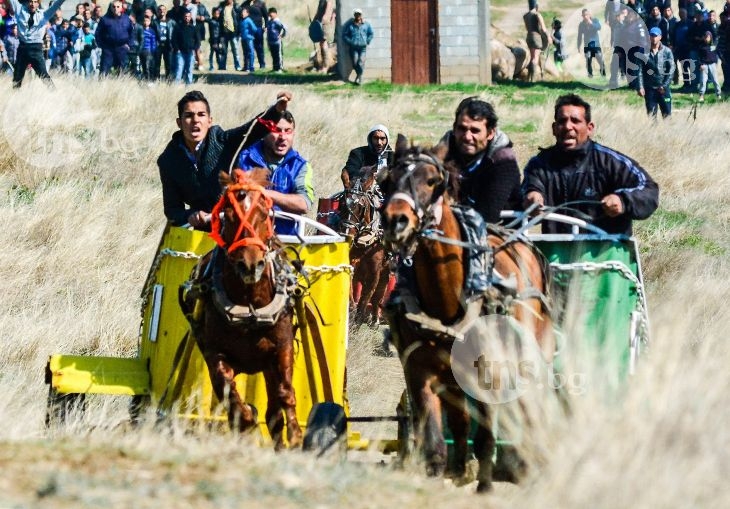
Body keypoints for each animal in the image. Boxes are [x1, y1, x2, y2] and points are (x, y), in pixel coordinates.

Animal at [186, 168, 302, 448]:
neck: (250, 306)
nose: (250, 265)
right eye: (228, 215)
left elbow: (285, 393)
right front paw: (247, 417)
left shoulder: (281, 347)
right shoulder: (215, 354)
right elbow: (233, 401)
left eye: (265, 213)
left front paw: (295, 437)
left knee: (275, 411)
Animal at [336, 169, 390, 324]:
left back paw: (375, 319)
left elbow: (366, 300)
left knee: (378, 295)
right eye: (342, 203)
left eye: (361, 207)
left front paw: (358, 321)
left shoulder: (374, 273)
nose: (346, 235)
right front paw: (351, 312)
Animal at [378, 136, 556, 492]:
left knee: (526, 406)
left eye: (432, 181)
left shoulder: (489, 374)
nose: (395, 220)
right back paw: (461, 467)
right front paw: (443, 472)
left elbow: (487, 437)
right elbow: (435, 442)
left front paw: (485, 485)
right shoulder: (420, 372)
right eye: (388, 181)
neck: (447, 298)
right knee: (460, 423)